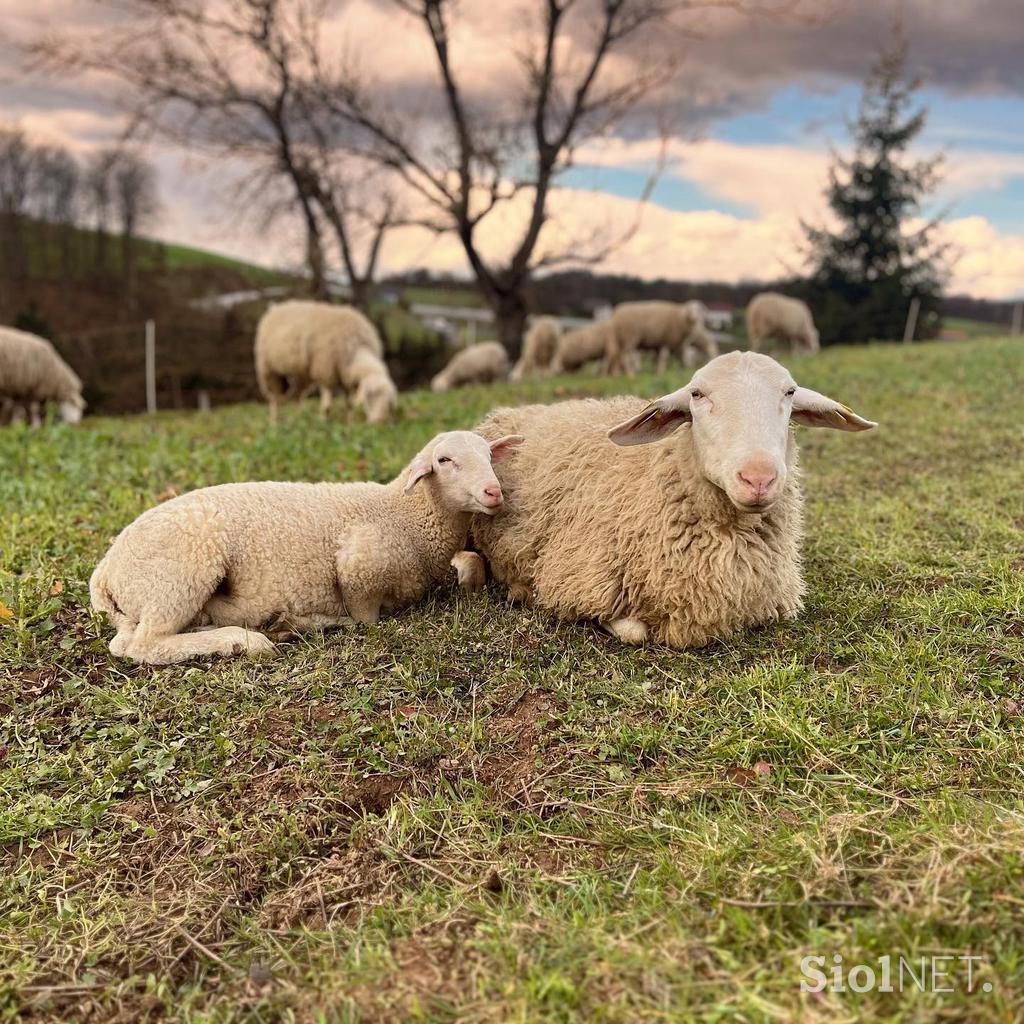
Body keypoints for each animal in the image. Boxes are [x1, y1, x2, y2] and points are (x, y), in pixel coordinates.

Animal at [89, 430, 524, 663]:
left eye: (490, 456)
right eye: (444, 460)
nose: (494, 492)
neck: (404, 515)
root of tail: (105, 571)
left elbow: (473, 564)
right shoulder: (358, 568)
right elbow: (367, 620)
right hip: (184, 568)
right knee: (142, 645)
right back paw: (250, 639)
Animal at [253, 299, 397, 421]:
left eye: (389, 401)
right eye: (369, 396)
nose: (380, 422)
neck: (355, 348)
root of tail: (276, 306)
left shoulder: (345, 378)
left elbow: (349, 405)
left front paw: (349, 423)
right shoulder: (325, 373)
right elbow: (326, 406)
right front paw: (323, 423)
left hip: (301, 374)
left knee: (296, 396)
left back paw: (299, 420)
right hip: (268, 369)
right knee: (274, 397)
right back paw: (274, 422)